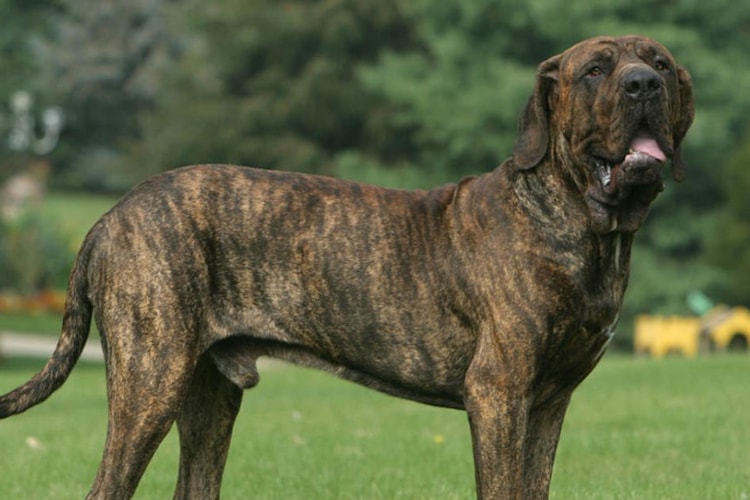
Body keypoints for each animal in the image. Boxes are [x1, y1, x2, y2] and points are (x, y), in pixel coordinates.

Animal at [0, 36, 692, 500]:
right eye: (596, 70)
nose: (643, 85)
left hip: (208, 397)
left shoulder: (549, 403)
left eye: (659, 64)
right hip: (151, 380)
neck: (581, 224)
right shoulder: (500, 394)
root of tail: (109, 216)